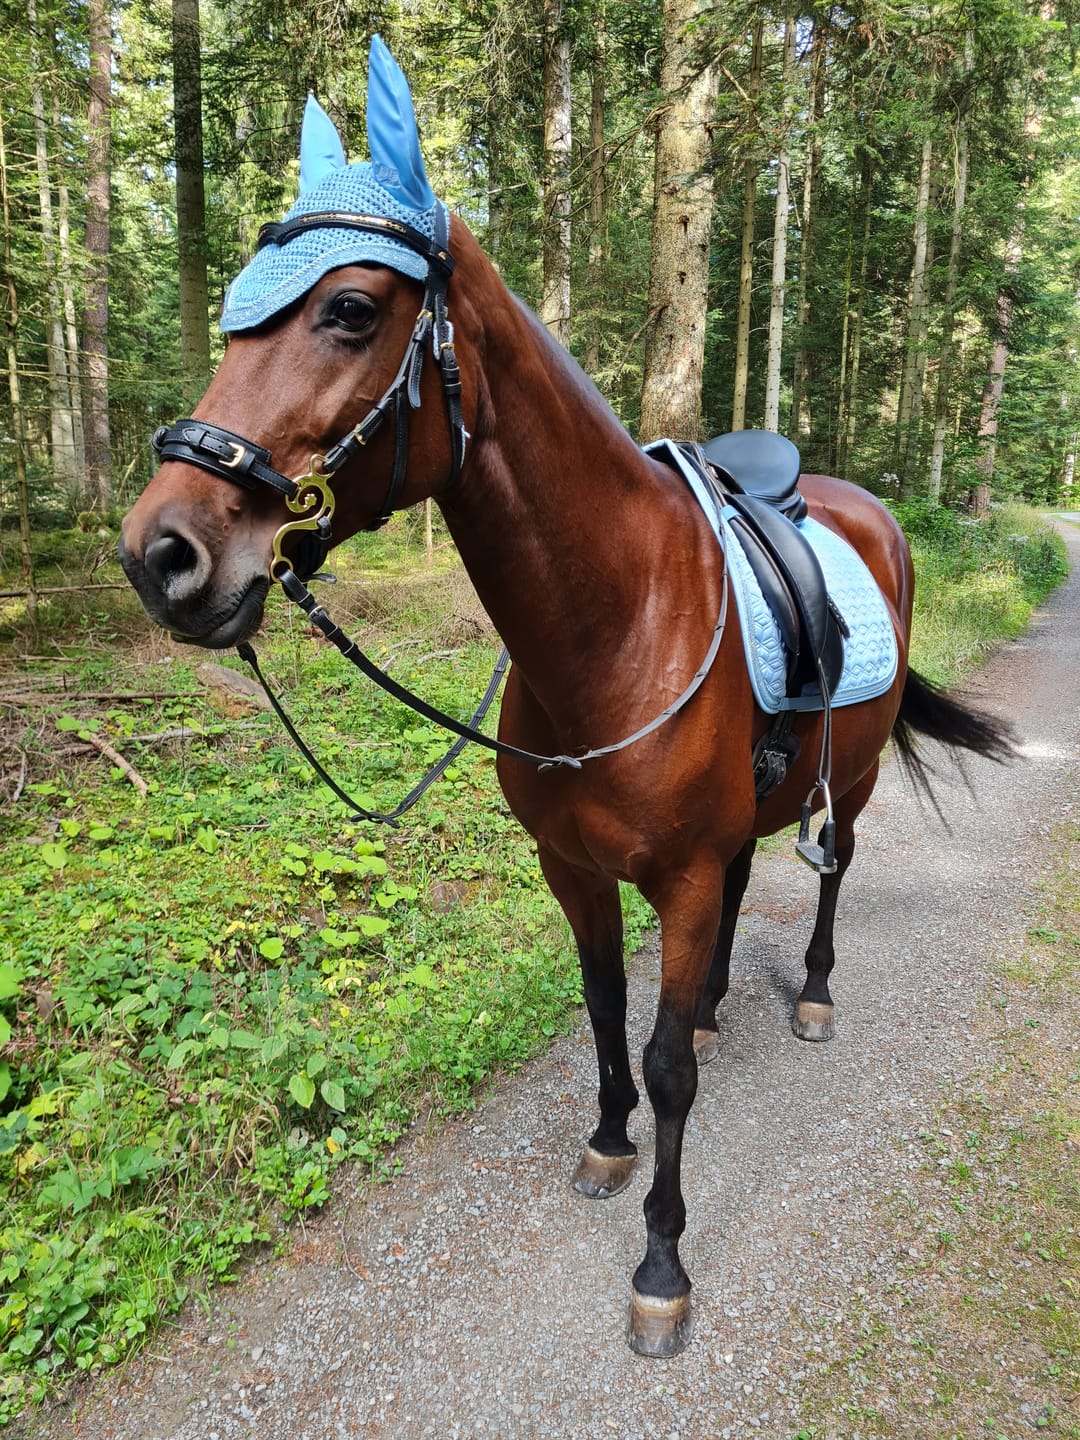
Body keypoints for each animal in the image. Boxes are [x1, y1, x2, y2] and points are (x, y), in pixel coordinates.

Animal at [119, 39, 1011, 1357]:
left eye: (349, 310)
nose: (161, 554)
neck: (617, 625)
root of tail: (871, 512)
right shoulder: (573, 870)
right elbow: (604, 1011)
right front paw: (605, 1139)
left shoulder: (675, 876)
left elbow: (666, 1065)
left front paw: (662, 1264)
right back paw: (720, 1005)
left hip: (843, 782)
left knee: (832, 868)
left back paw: (809, 994)